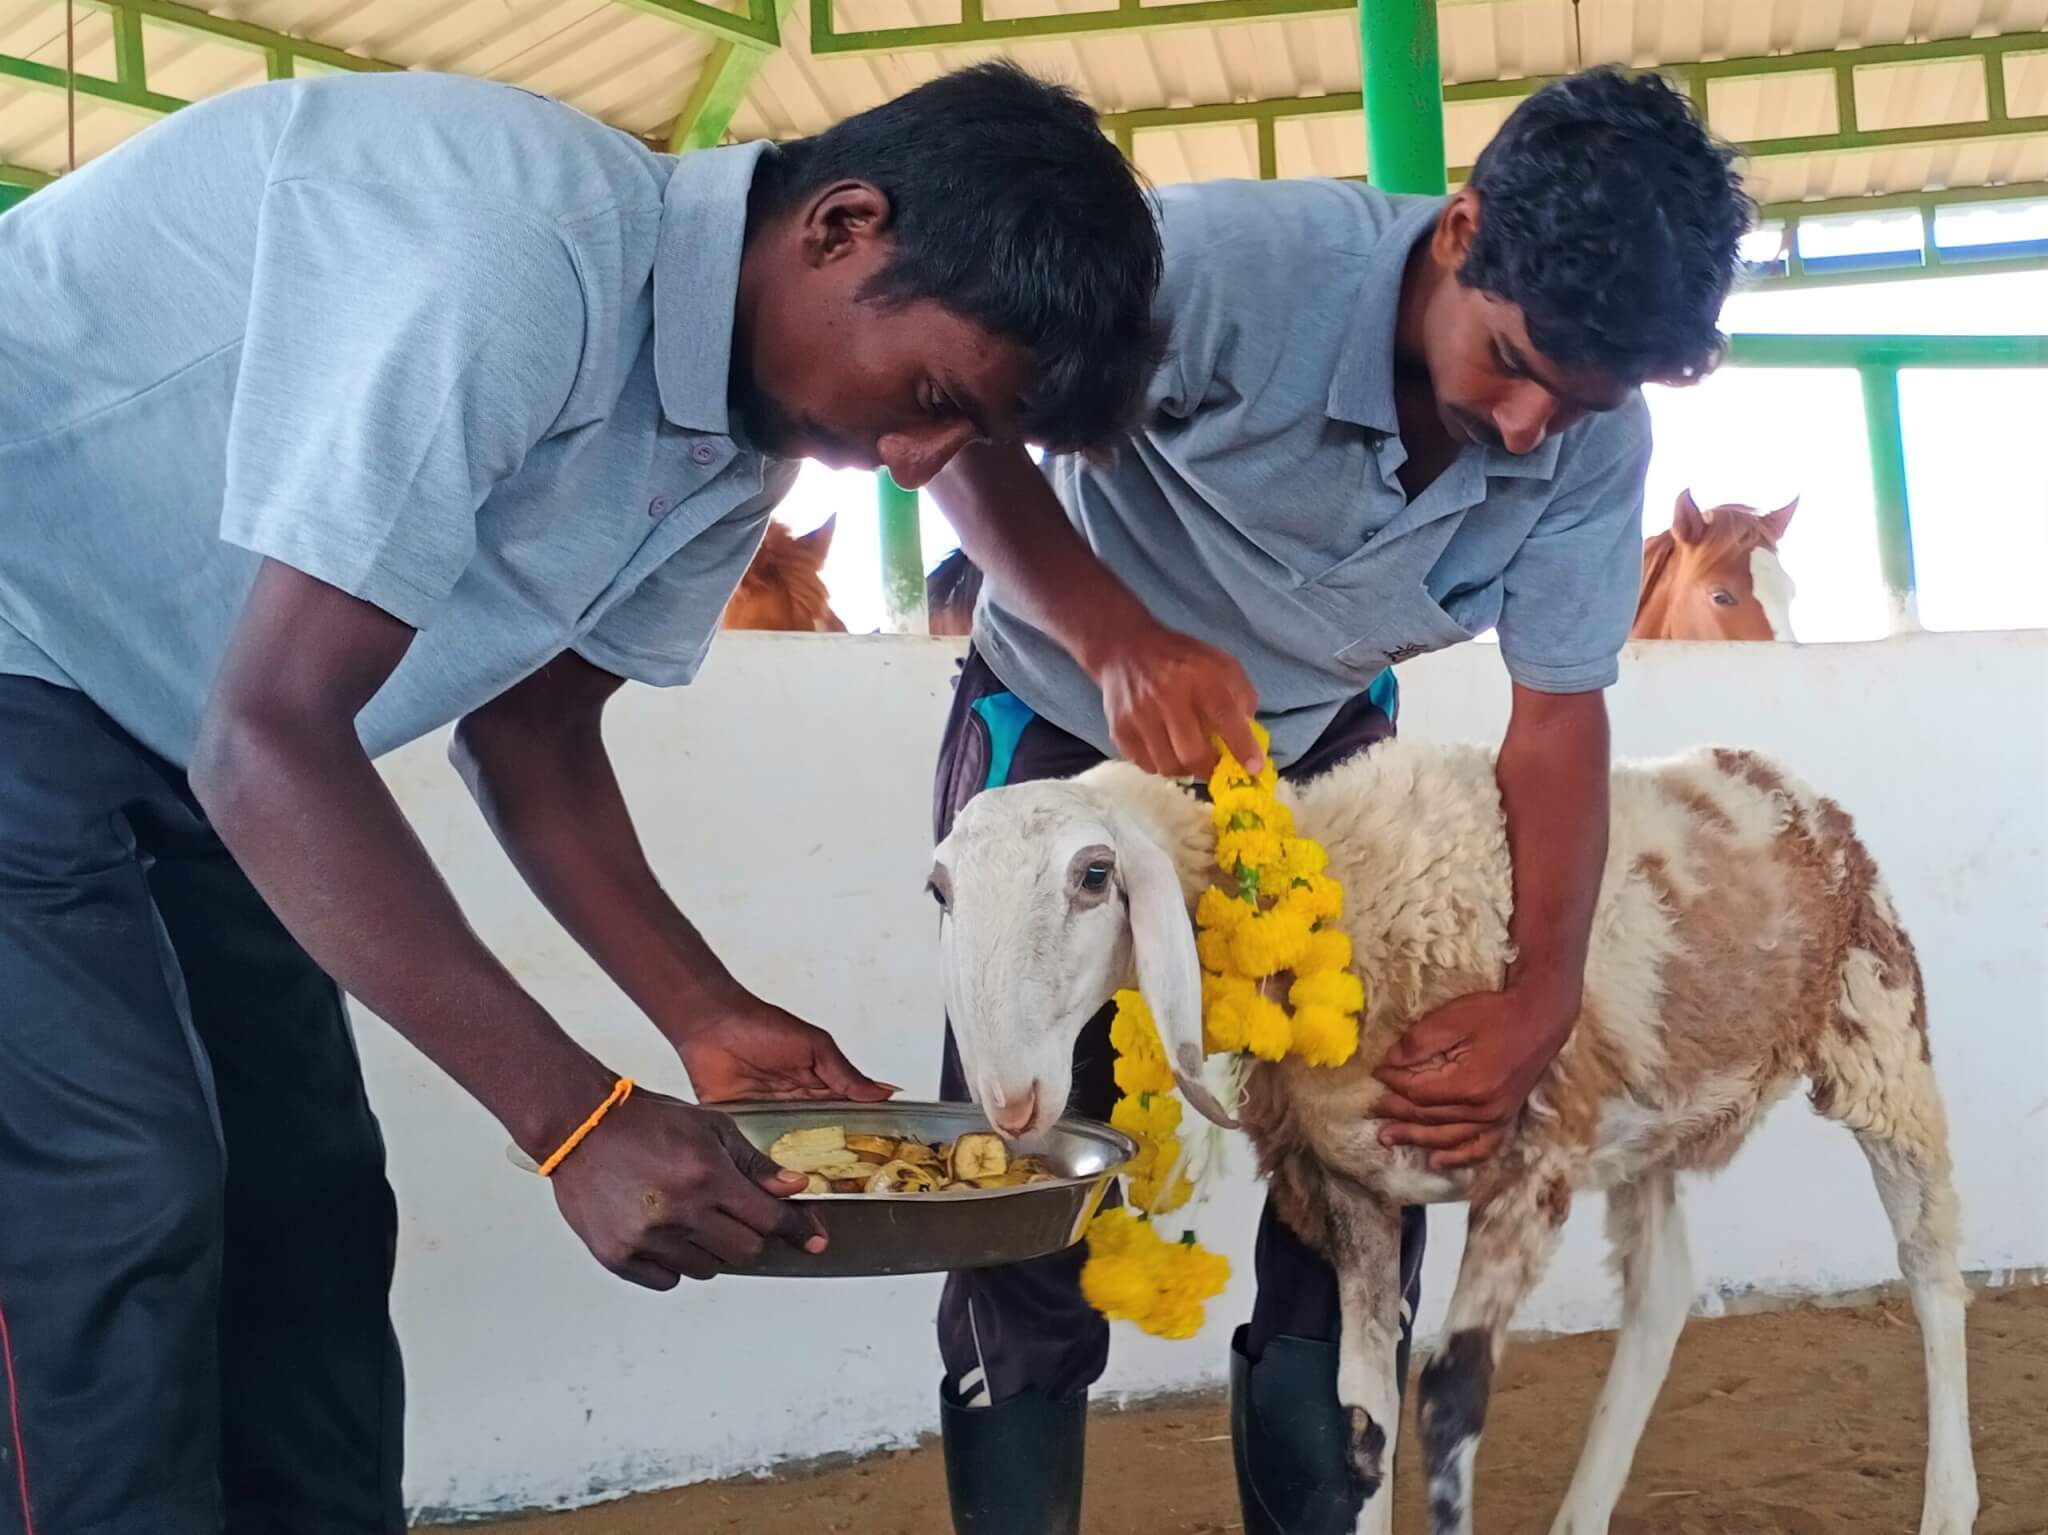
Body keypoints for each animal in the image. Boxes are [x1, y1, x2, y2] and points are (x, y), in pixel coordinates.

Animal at [937, 740, 1974, 1530]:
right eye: (941, 890)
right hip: (1641, 1126)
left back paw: (1948, 1503)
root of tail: (1779, 779)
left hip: (1881, 1037)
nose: (1011, 1102)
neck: (1349, 892)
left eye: (1094, 875)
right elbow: (1361, 1421)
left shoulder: (1527, 1165)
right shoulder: (1355, 1188)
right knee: (1661, 1293)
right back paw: (1582, 1514)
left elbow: (1448, 1395)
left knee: (1930, 1267)